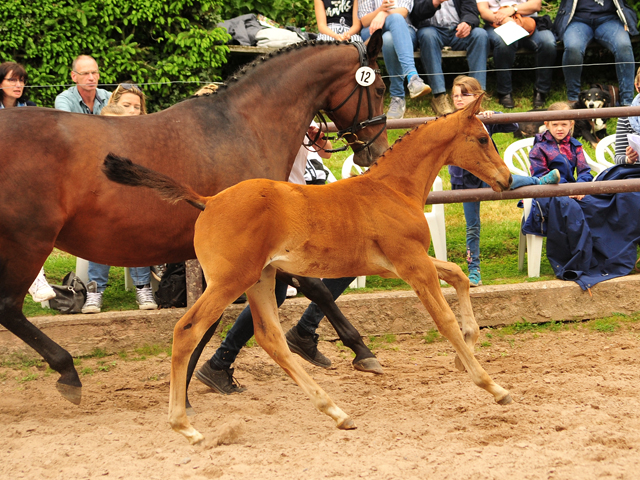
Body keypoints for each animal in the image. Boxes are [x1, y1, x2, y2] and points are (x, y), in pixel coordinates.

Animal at [105, 95, 516, 444]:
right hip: (229, 281)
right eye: (483, 138)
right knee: (187, 330)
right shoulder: (411, 264)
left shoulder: (401, 264)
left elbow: (458, 275)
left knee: (270, 339)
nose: (507, 179)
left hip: (260, 278)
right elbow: (444, 320)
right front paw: (493, 386)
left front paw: (467, 347)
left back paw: (336, 411)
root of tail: (208, 200)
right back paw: (185, 426)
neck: (392, 189)